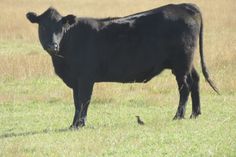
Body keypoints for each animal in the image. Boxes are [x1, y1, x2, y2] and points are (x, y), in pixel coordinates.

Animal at [25, 3, 218, 129]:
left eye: (60, 27)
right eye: (43, 26)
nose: (52, 45)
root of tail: (182, 6)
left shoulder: (86, 78)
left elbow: (83, 100)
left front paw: (80, 124)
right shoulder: (76, 80)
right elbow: (76, 101)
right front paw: (74, 124)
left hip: (181, 65)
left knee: (184, 87)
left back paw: (178, 116)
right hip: (186, 63)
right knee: (195, 80)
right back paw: (195, 113)